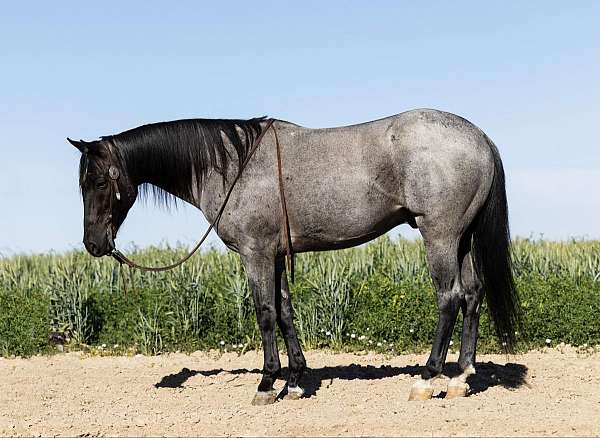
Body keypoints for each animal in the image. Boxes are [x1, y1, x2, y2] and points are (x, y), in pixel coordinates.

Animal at [68, 108, 520, 404]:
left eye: (98, 181)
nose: (94, 244)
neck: (232, 166)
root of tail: (479, 137)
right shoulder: (276, 253)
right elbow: (285, 310)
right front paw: (297, 380)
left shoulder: (255, 253)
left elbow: (265, 311)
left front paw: (267, 383)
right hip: (462, 238)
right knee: (473, 295)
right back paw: (461, 376)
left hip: (440, 235)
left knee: (449, 298)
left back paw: (427, 378)